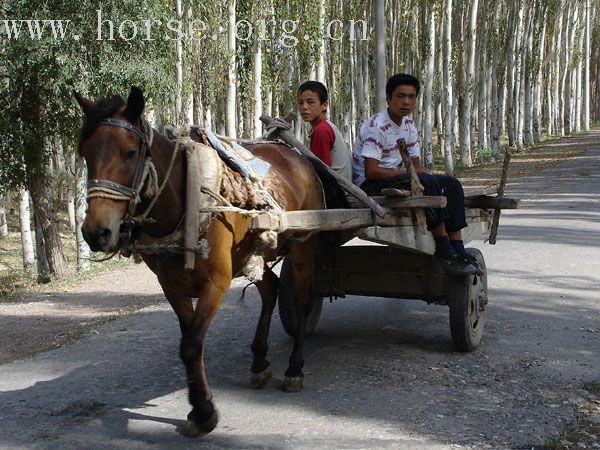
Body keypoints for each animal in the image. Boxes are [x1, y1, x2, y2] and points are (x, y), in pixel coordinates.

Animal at [74, 87, 338, 436]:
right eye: (86, 154)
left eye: (129, 153)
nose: (96, 232)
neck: (185, 203)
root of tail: (299, 158)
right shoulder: (171, 286)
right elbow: (190, 342)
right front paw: (200, 407)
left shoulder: (217, 280)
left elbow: (191, 344)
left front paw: (203, 411)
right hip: (249, 252)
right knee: (270, 289)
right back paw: (259, 361)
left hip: (303, 243)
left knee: (302, 298)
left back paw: (295, 368)